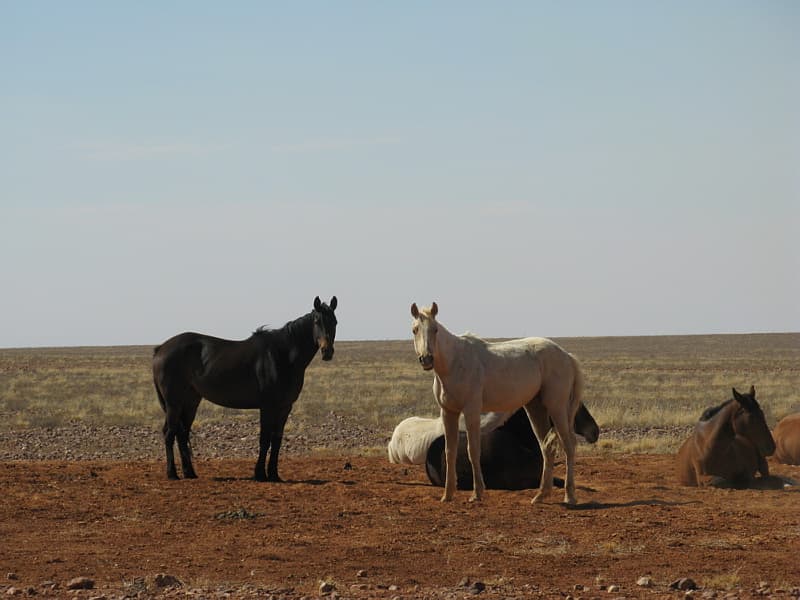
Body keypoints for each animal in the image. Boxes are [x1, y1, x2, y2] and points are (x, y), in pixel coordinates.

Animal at [152, 296, 338, 481]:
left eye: (335, 322)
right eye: (317, 321)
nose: (327, 351)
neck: (282, 356)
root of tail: (160, 348)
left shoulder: (285, 407)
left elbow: (276, 439)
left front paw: (274, 474)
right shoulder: (267, 406)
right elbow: (265, 439)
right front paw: (260, 474)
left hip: (190, 401)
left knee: (182, 434)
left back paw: (189, 473)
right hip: (174, 403)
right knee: (169, 433)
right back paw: (172, 474)